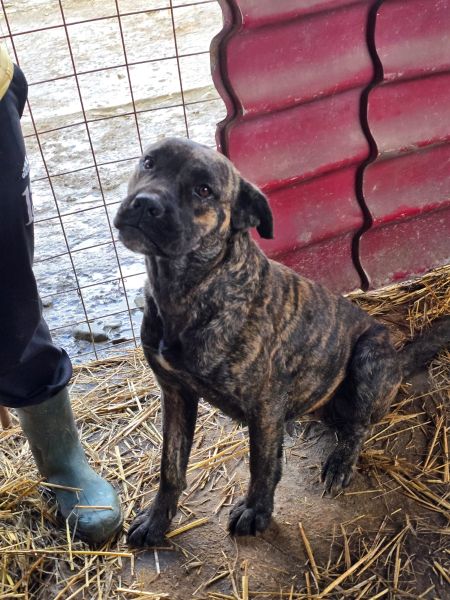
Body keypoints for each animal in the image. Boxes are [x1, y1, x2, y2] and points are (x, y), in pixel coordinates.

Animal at [114, 137, 450, 547]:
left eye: (204, 190)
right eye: (148, 163)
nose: (145, 203)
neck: (184, 290)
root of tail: (399, 361)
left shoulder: (265, 403)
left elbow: (261, 466)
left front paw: (257, 511)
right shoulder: (175, 394)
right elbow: (171, 467)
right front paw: (157, 520)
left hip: (368, 358)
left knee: (357, 427)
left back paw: (340, 462)